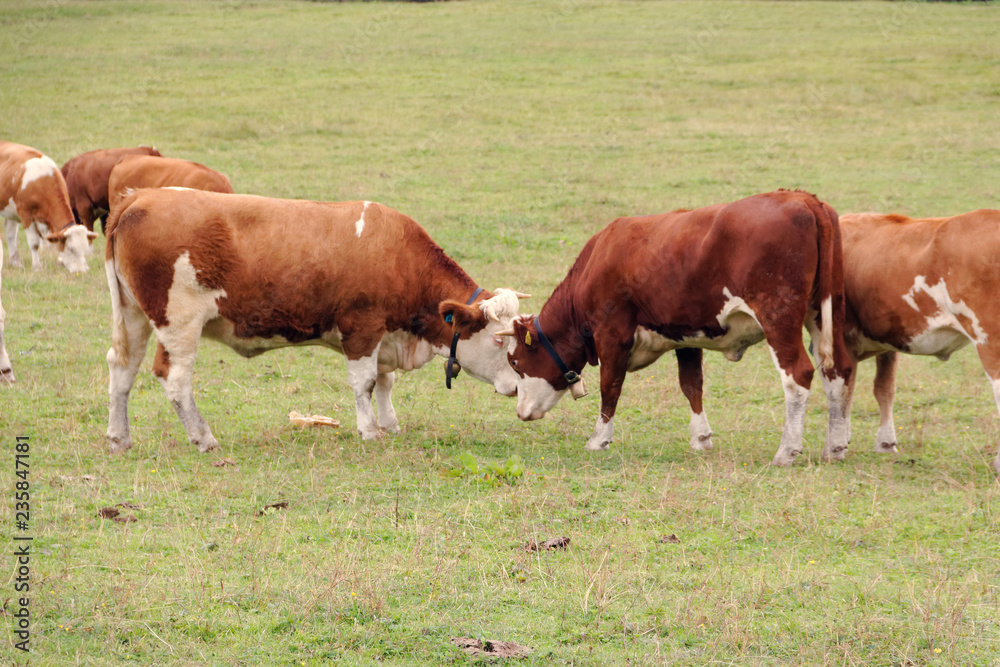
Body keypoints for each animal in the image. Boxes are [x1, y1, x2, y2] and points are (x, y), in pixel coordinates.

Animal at [0, 142, 95, 274]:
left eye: (85, 248)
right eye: (71, 248)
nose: (83, 270)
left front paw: (60, 261)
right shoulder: (25, 214)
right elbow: (34, 243)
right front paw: (37, 267)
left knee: (10, 232)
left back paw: (16, 262)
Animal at [104, 188, 532, 454]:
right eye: (499, 340)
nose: (516, 385)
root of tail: (140, 197)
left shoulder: (384, 335)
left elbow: (386, 381)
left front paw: (390, 423)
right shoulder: (363, 328)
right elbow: (365, 382)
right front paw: (369, 430)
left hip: (132, 315)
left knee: (121, 369)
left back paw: (119, 437)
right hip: (179, 322)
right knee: (175, 378)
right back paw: (203, 437)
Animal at [500, 190, 852, 468]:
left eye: (515, 362)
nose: (519, 412)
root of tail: (802, 198)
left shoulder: (612, 334)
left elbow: (610, 387)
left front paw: (599, 439)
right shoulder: (686, 335)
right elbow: (691, 385)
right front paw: (701, 438)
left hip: (779, 317)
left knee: (797, 375)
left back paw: (787, 451)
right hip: (826, 316)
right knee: (838, 370)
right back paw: (834, 447)